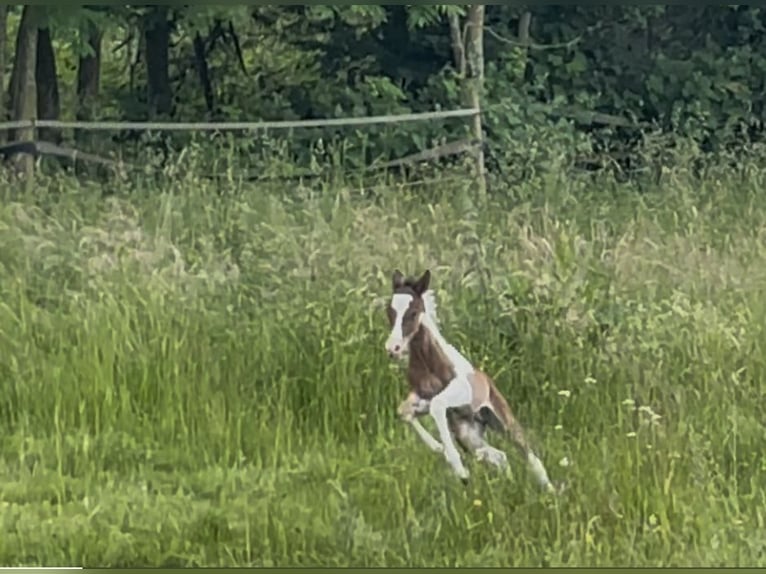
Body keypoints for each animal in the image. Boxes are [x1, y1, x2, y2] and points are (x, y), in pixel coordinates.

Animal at [384, 268, 556, 493]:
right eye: (389, 311)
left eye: (412, 312)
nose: (393, 348)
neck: (430, 365)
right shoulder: (421, 400)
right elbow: (404, 411)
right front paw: (440, 449)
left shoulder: (460, 394)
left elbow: (437, 405)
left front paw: (459, 469)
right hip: (468, 434)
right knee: (500, 457)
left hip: (502, 421)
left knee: (531, 457)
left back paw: (551, 492)